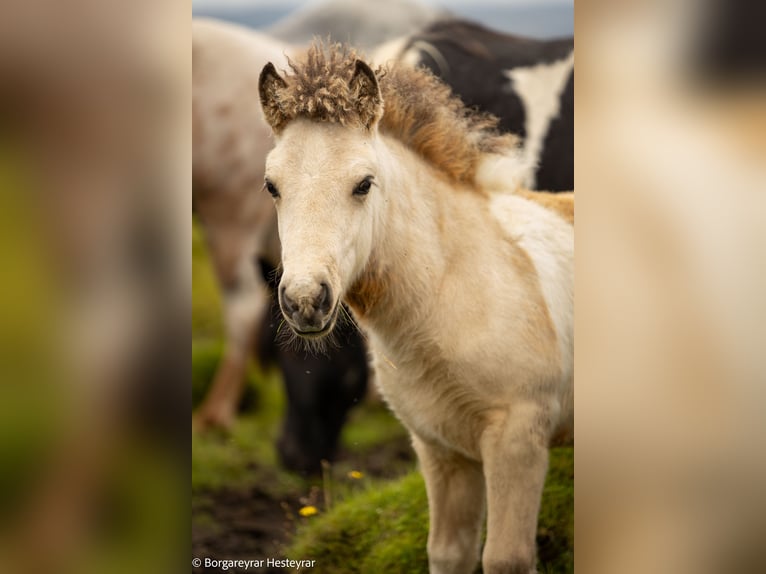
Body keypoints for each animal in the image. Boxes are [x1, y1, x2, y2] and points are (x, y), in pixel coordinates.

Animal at [258, 43, 573, 573]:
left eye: (364, 184)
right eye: (271, 186)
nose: (305, 300)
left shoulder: (518, 440)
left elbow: (504, 558)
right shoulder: (440, 448)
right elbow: (449, 552)